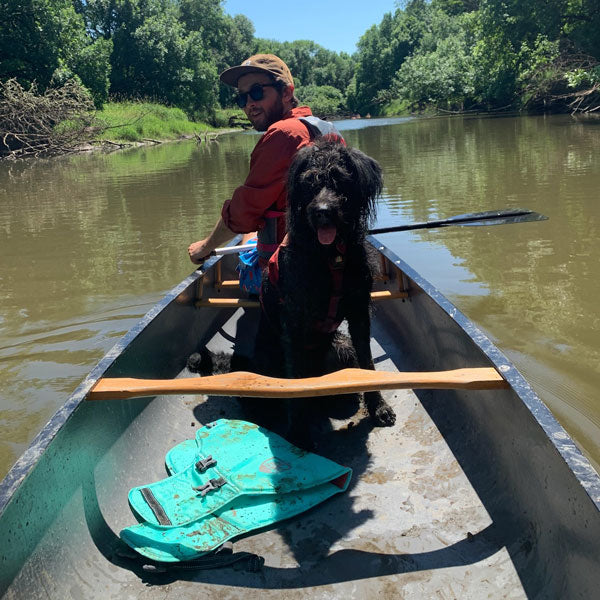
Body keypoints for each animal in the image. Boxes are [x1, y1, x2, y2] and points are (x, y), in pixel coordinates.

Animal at [251, 137, 396, 446]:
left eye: (340, 179)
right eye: (309, 182)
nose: (322, 212)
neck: (330, 256)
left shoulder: (359, 311)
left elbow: (368, 364)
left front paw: (378, 407)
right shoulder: (294, 320)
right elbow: (295, 384)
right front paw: (297, 432)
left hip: (341, 348)